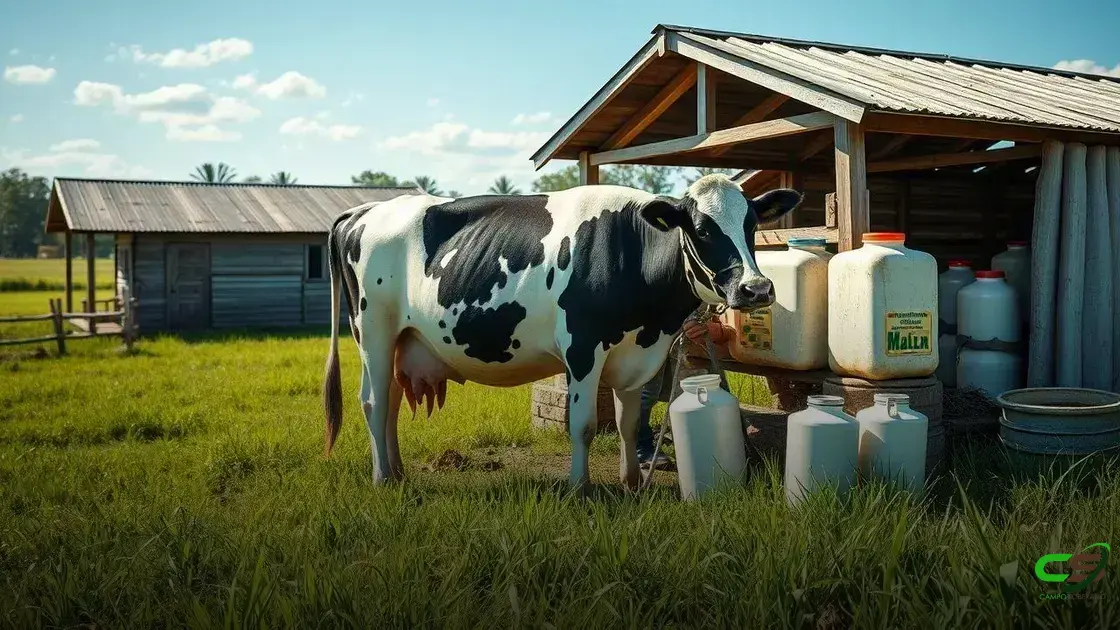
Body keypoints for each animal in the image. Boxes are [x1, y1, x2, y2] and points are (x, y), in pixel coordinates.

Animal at [322, 173, 801, 492]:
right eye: (700, 229)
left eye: (751, 225)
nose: (757, 289)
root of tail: (363, 211)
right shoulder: (583, 348)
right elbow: (584, 424)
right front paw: (579, 488)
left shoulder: (637, 353)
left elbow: (628, 423)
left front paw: (632, 484)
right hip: (373, 330)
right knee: (373, 401)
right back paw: (382, 479)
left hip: (403, 339)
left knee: (390, 402)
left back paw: (397, 471)